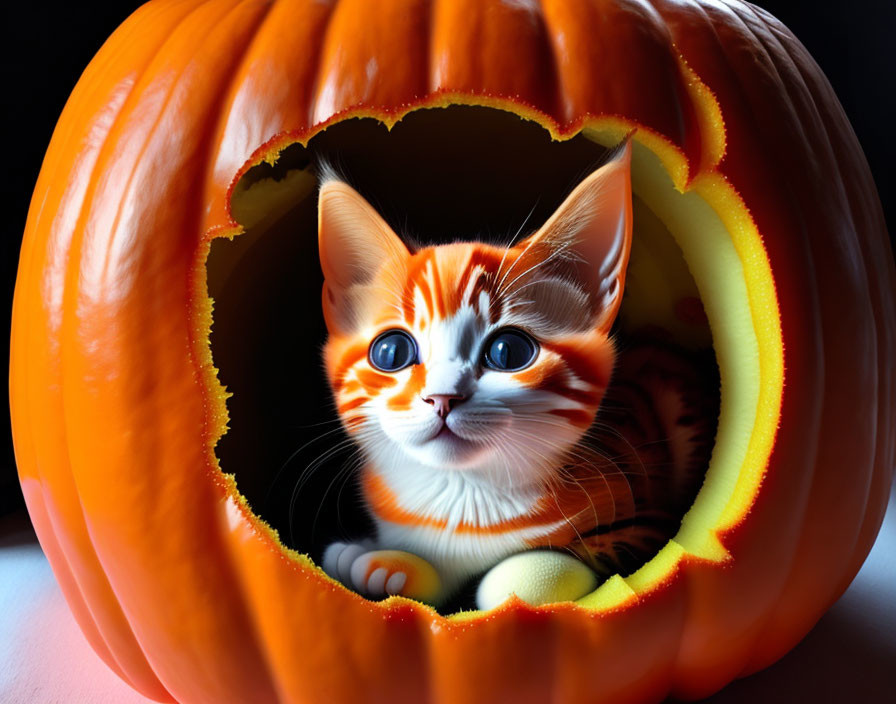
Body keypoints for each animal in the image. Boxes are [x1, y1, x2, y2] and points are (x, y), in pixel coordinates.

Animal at [318, 140, 712, 608]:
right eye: (391, 352)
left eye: (509, 352)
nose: (442, 397)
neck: (464, 501)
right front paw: (371, 559)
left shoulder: (649, 523)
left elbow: (572, 557)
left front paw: (517, 579)